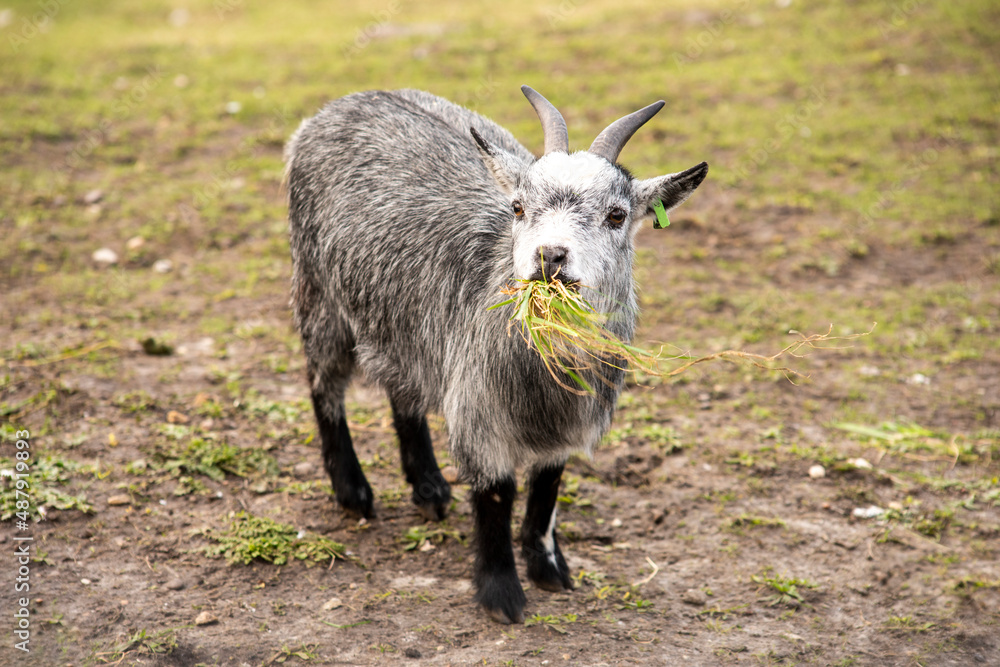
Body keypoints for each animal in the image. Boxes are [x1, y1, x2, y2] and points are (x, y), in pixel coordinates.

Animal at [285, 86, 707, 624]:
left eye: (617, 215)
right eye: (519, 208)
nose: (550, 255)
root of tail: (345, 102)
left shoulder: (565, 419)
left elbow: (548, 484)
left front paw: (549, 569)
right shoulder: (480, 407)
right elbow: (497, 491)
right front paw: (501, 593)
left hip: (400, 321)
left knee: (402, 389)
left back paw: (428, 487)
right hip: (319, 293)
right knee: (325, 386)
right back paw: (353, 492)